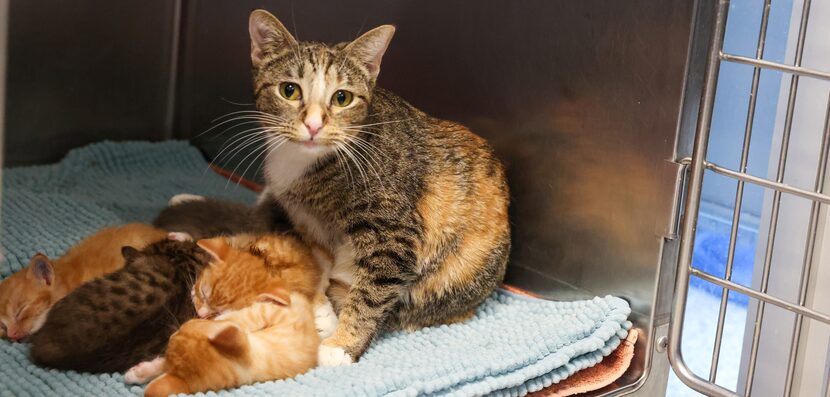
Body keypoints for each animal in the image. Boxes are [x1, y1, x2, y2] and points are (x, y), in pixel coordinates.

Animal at [136, 290, 318, 396]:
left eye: (183, 328)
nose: (172, 333)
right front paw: (141, 373)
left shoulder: (282, 319)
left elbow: (249, 315)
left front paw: (223, 318)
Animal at [244, 9, 510, 366]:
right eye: (289, 90)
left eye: (342, 97)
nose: (313, 125)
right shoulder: (306, 222)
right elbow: (315, 263)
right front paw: (321, 312)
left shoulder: (392, 234)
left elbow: (371, 292)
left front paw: (341, 345)